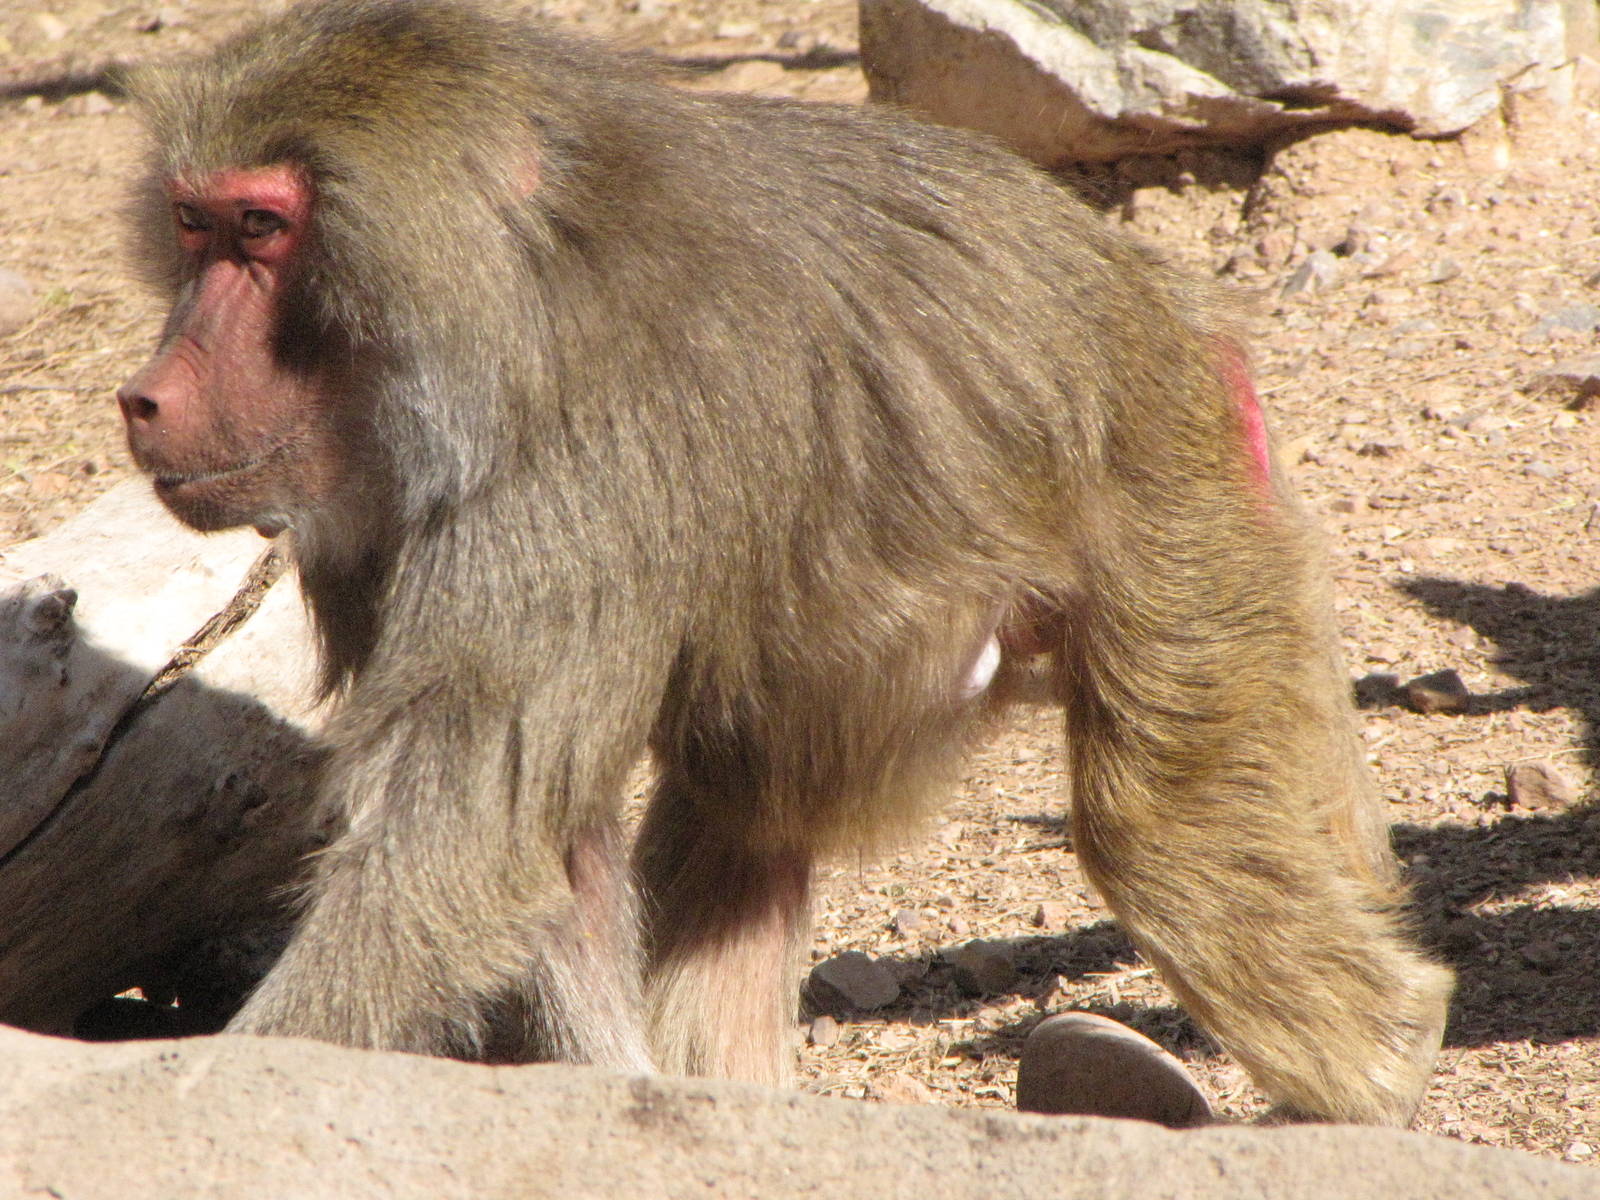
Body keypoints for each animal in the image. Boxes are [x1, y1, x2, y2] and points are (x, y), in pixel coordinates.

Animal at [114, 0, 1452, 1125]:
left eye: (263, 228)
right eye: (193, 223)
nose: (147, 396)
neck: (513, 292)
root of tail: (1154, 293)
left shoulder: (582, 468)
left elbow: (462, 842)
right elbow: (545, 843)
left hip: (1168, 493)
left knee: (1160, 831)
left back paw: (1375, 1084)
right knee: (744, 816)